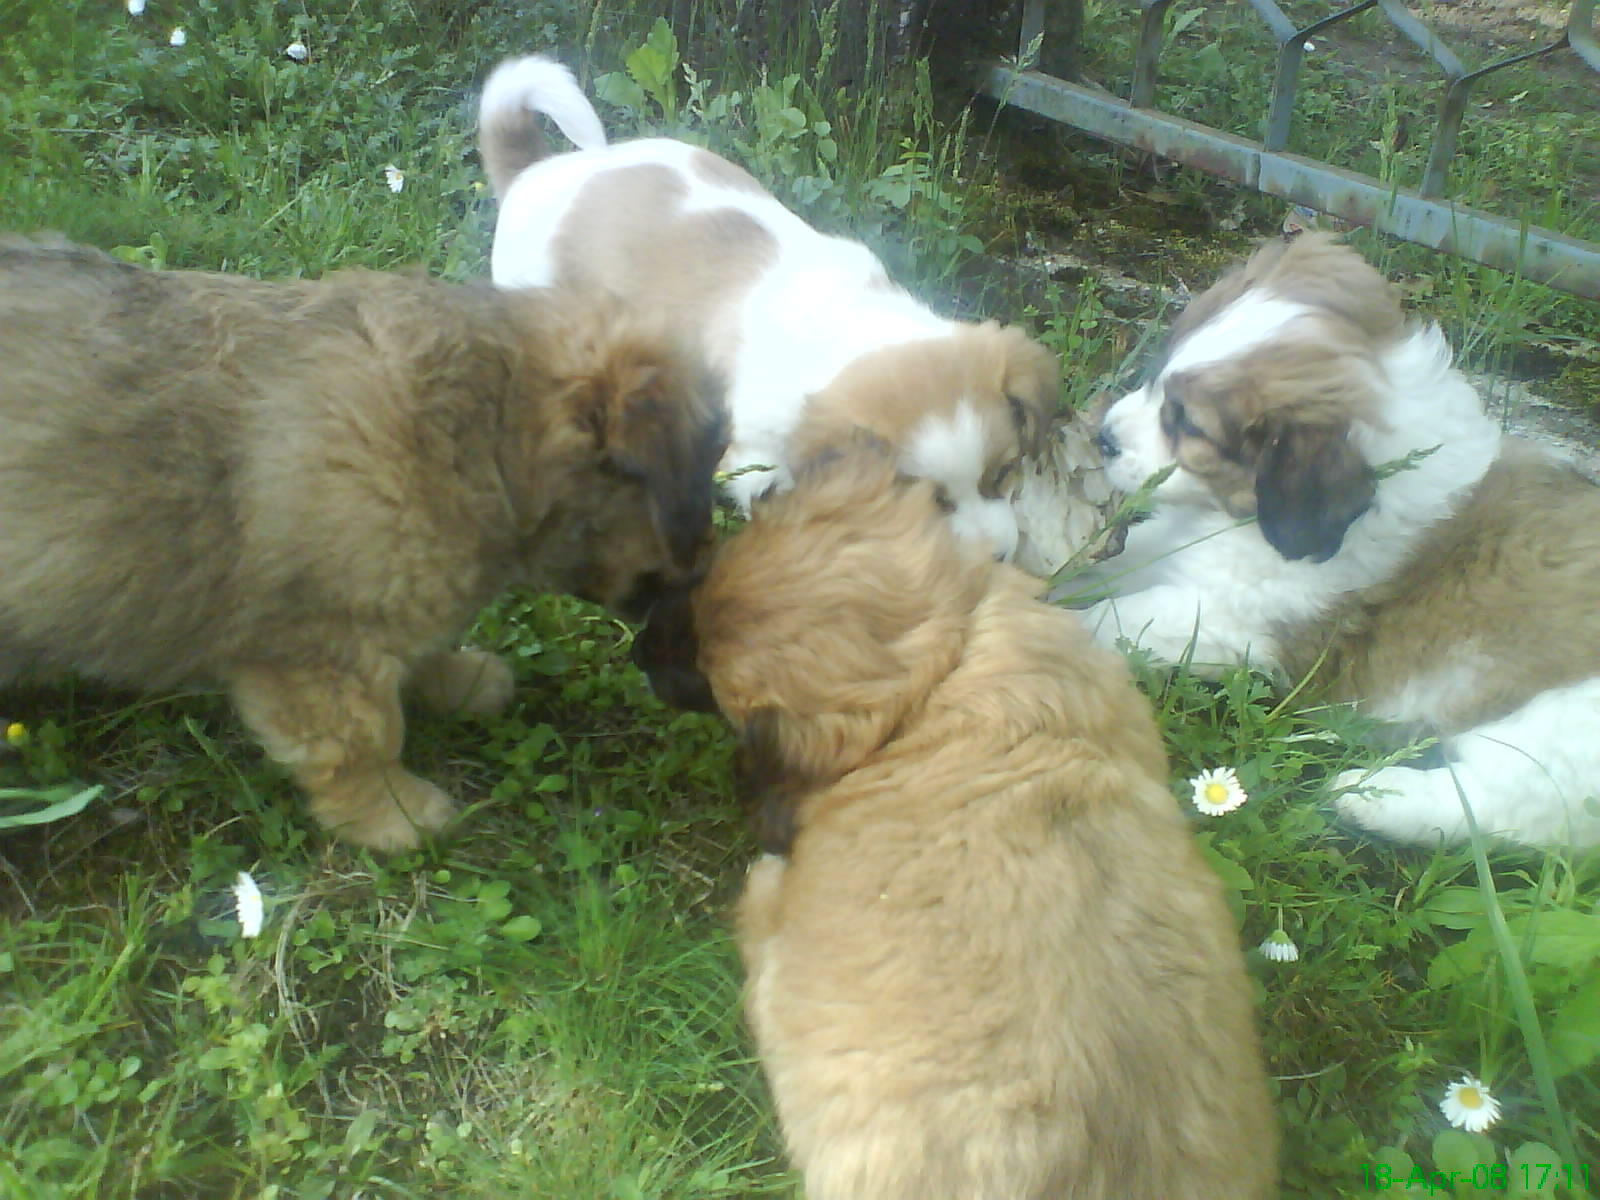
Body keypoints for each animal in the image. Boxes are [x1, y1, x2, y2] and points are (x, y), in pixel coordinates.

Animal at [0, 236, 725, 850]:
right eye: (696, 491)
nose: (704, 580)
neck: (482, 428)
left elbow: (422, 651)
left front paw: (459, 681)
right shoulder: (322, 651)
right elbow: (365, 737)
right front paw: (394, 814)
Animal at [476, 55, 1059, 560]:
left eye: (1003, 474)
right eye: (933, 502)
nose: (1000, 559)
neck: (848, 326)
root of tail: (533, 173)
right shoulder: (759, 460)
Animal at [1079, 231, 1600, 850]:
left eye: (1187, 424)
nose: (1103, 437)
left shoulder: (1233, 619)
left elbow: (1107, 620)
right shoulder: (1175, 550)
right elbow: (1122, 560)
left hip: (1549, 730)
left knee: (1508, 809)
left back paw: (1368, 796)